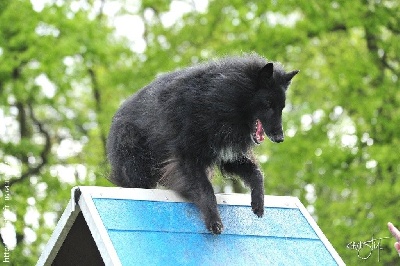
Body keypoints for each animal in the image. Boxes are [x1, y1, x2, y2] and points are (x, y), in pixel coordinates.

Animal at [106, 54, 296, 235]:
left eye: (282, 108)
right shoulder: (187, 158)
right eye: (268, 104)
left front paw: (258, 201)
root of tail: (116, 118)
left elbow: (256, 174)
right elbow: (205, 189)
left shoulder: (228, 154)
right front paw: (214, 221)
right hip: (137, 166)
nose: (280, 138)